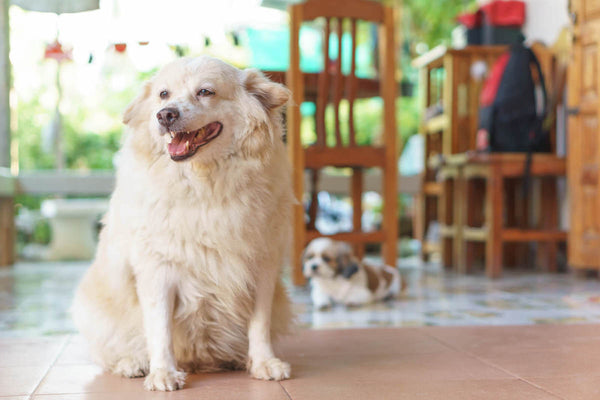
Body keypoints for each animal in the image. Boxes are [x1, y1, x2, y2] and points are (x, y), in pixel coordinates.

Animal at [72, 55, 296, 390]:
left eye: (205, 91)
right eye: (163, 94)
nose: (165, 114)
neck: (205, 184)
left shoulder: (263, 267)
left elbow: (260, 323)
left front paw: (264, 362)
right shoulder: (157, 270)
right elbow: (159, 328)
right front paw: (163, 373)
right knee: (110, 352)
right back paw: (132, 363)